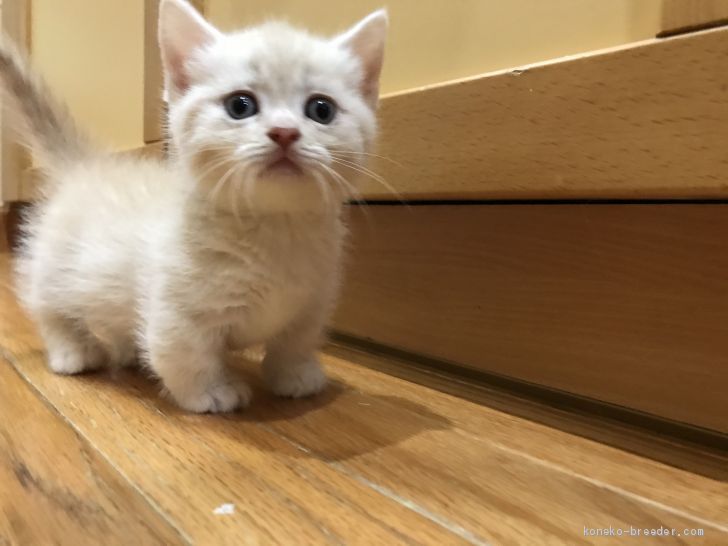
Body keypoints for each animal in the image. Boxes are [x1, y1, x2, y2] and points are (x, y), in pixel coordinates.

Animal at [0, 0, 386, 408]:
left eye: (321, 109)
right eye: (240, 105)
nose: (284, 132)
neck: (275, 229)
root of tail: (87, 166)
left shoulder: (312, 301)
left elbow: (296, 341)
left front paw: (295, 375)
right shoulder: (176, 311)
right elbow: (183, 353)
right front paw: (211, 392)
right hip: (54, 270)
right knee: (49, 309)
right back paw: (75, 353)